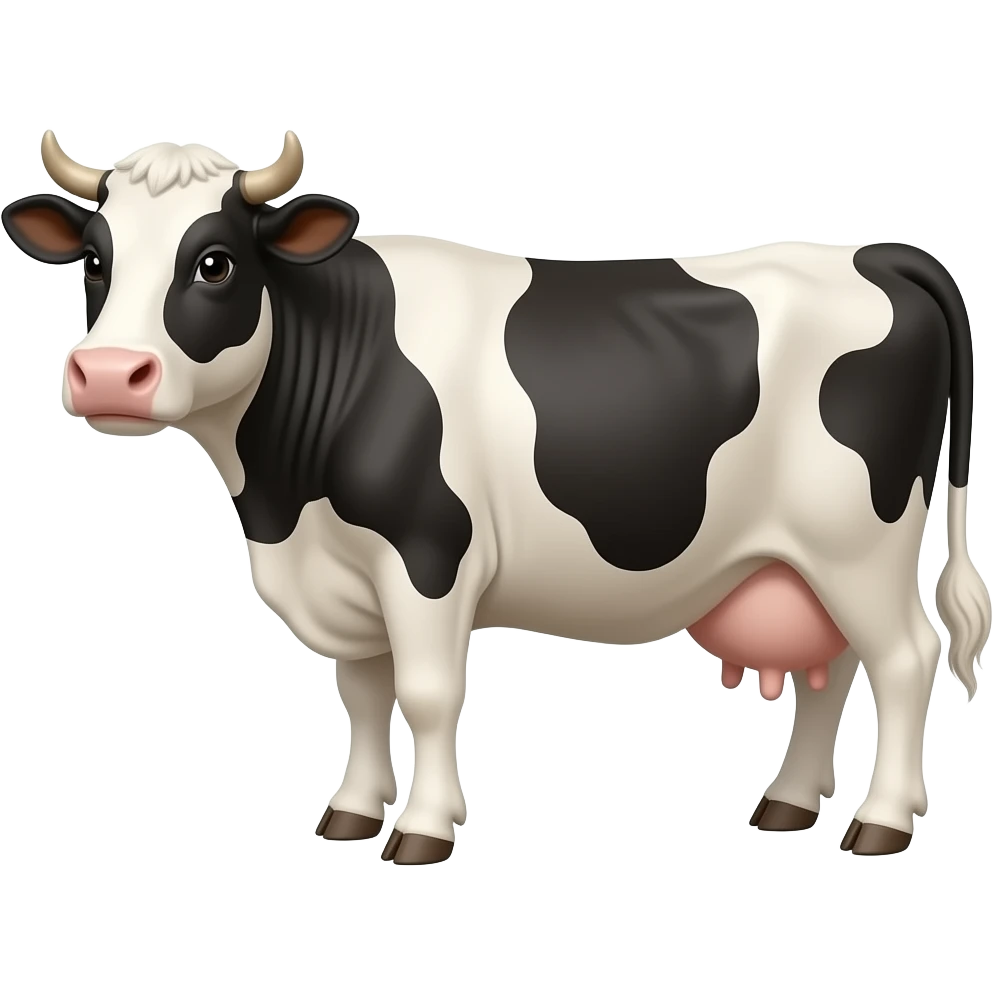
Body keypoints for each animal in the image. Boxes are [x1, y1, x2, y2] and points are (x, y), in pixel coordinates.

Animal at [5, 130, 989, 864]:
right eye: (93, 262)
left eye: (213, 262)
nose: (107, 374)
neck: (284, 502)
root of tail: (877, 251)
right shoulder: (347, 574)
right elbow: (362, 692)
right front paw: (352, 812)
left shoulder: (427, 551)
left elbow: (429, 692)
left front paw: (422, 831)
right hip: (801, 556)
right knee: (836, 668)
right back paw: (786, 803)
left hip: (857, 538)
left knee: (904, 659)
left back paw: (879, 822)